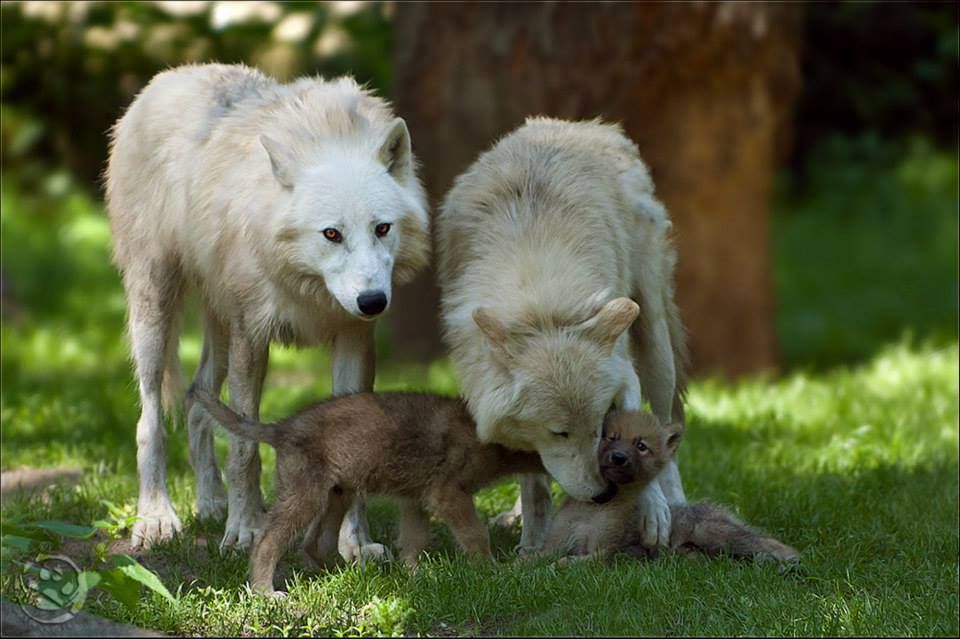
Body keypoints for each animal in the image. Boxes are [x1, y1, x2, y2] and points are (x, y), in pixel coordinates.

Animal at [104, 62, 428, 556]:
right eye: (331, 234)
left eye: (382, 229)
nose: (373, 301)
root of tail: (170, 76)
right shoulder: (252, 335)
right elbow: (244, 448)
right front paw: (246, 531)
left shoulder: (353, 337)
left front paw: (356, 545)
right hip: (156, 311)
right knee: (150, 420)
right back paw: (157, 519)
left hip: (217, 327)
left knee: (196, 400)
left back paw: (210, 504)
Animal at [436, 116, 688, 552]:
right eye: (559, 432)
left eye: (601, 425)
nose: (604, 494)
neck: (542, 307)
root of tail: (586, 126)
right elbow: (534, 483)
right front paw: (532, 544)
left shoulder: (624, 372)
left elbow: (643, 429)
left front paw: (652, 511)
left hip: (655, 340)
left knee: (666, 423)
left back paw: (674, 503)